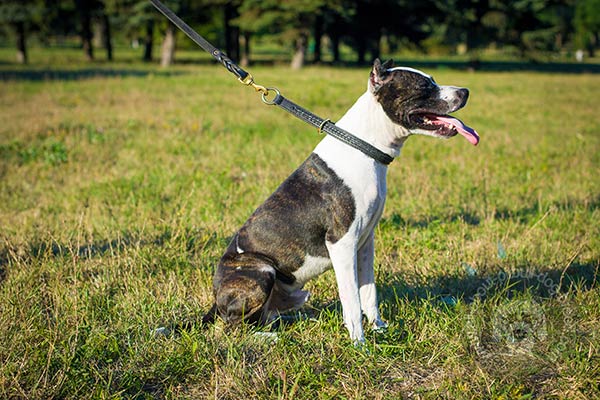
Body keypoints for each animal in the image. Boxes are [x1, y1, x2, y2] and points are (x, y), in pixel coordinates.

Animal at [204, 58, 480, 344]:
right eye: (424, 86)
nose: (465, 92)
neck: (364, 146)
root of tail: (216, 300)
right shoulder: (342, 243)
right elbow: (351, 300)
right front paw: (360, 344)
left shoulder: (365, 242)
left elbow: (368, 293)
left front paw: (379, 329)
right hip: (261, 270)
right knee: (232, 329)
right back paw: (268, 338)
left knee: (265, 317)